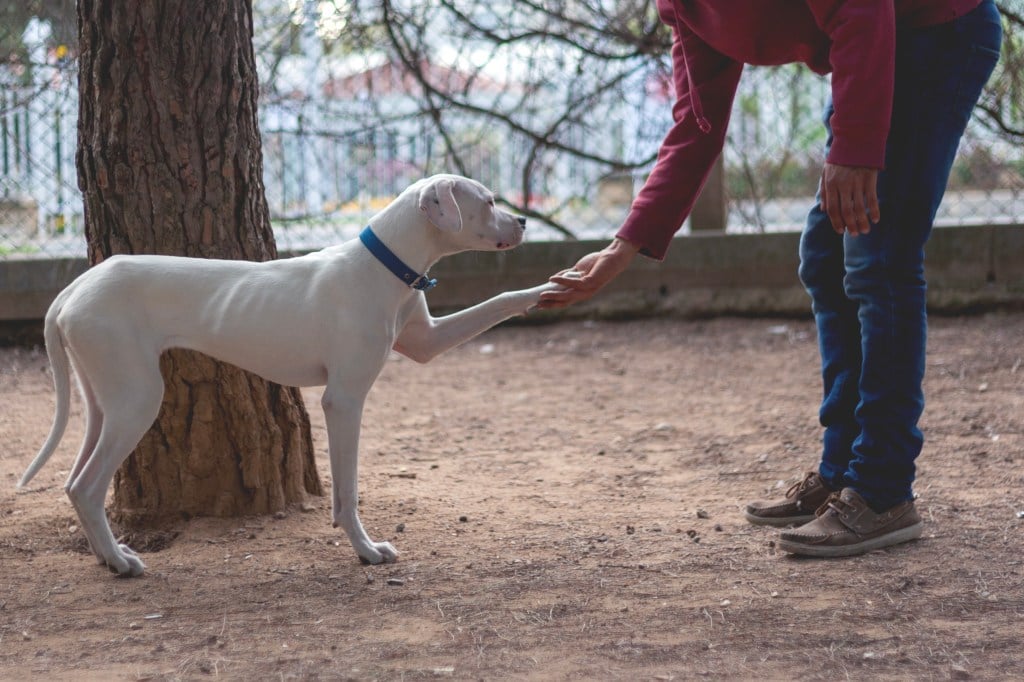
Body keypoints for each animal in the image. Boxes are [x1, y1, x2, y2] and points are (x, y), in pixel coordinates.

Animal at [18, 174, 561, 573]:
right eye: (487, 200)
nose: (522, 220)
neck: (385, 266)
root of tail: (75, 288)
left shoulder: (426, 343)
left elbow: (500, 300)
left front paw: (556, 285)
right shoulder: (343, 401)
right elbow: (347, 491)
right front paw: (366, 550)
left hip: (103, 400)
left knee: (74, 482)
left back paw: (106, 557)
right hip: (136, 400)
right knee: (88, 486)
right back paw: (119, 562)